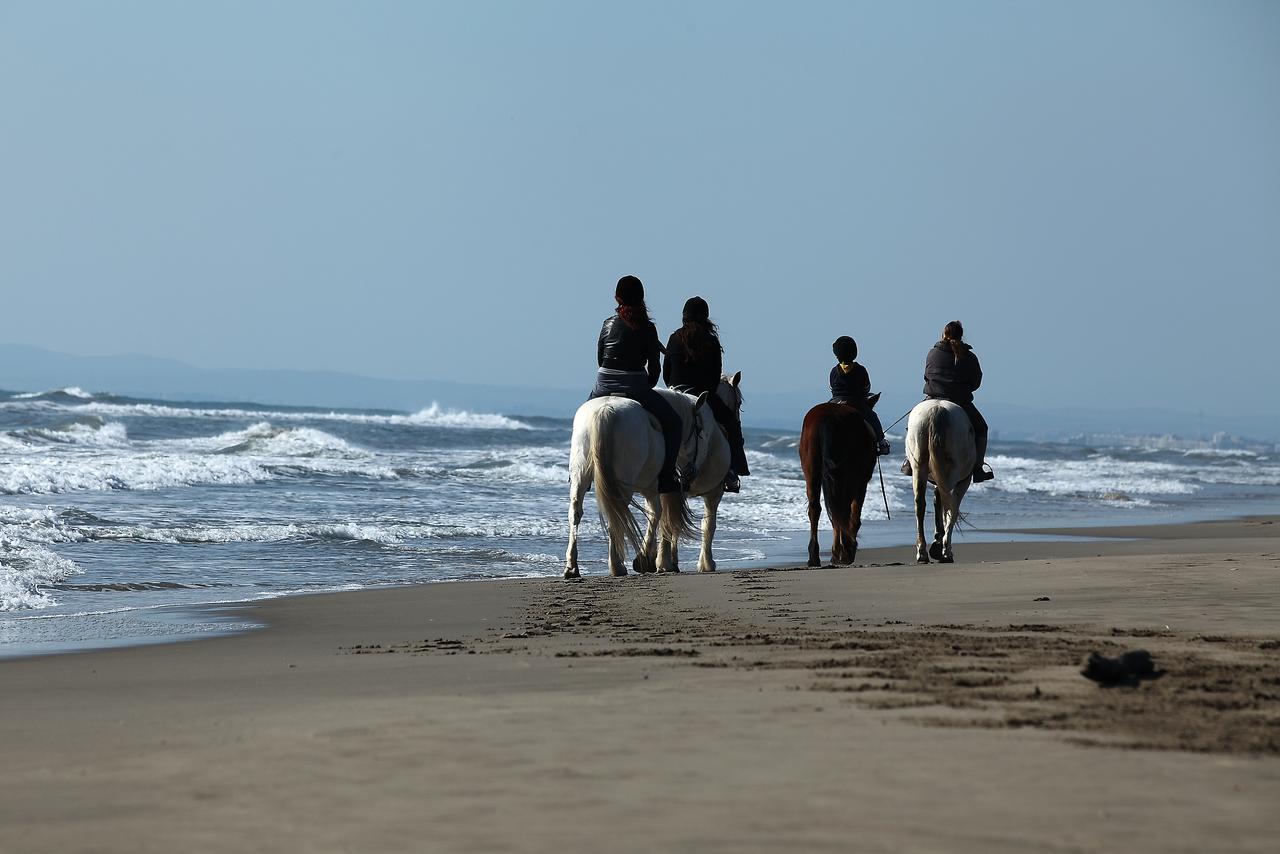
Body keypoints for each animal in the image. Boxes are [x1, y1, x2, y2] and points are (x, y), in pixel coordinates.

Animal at [568, 371, 747, 578]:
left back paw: (572, 567)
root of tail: (605, 411)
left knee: (577, 512)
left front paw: (659, 560)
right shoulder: (713, 492)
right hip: (624, 483)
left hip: (581, 476)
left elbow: (663, 518)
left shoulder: (658, 488)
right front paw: (702, 563)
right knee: (618, 513)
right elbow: (704, 524)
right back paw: (617, 565)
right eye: (737, 404)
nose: (687, 472)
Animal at [798, 394, 880, 568]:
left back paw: (814, 556)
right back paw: (843, 552)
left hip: (812, 471)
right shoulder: (860, 481)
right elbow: (852, 514)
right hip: (847, 476)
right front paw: (845, 552)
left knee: (816, 508)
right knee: (843, 510)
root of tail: (829, 417)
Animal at [906, 402, 972, 568]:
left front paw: (937, 540)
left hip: (919, 465)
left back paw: (922, 552)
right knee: (948, 504)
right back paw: (946, 552)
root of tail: (937, 408)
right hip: (953, 471)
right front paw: (940, 543)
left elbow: (937, 502)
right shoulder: (964, 480)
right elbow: (950, 509)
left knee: (920, 504)